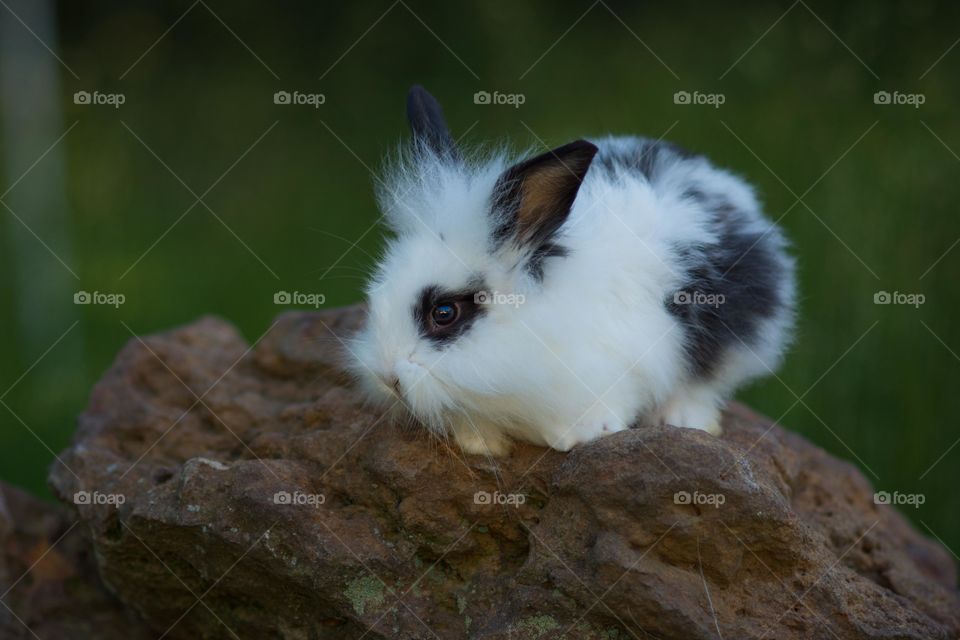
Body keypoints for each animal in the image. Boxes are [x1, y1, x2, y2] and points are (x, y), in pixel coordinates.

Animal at [348, 85, 795, 457]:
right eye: (377, 297)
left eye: (444, 313)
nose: (387, 377)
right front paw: (480, 444)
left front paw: (587, 434)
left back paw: (683, 418)